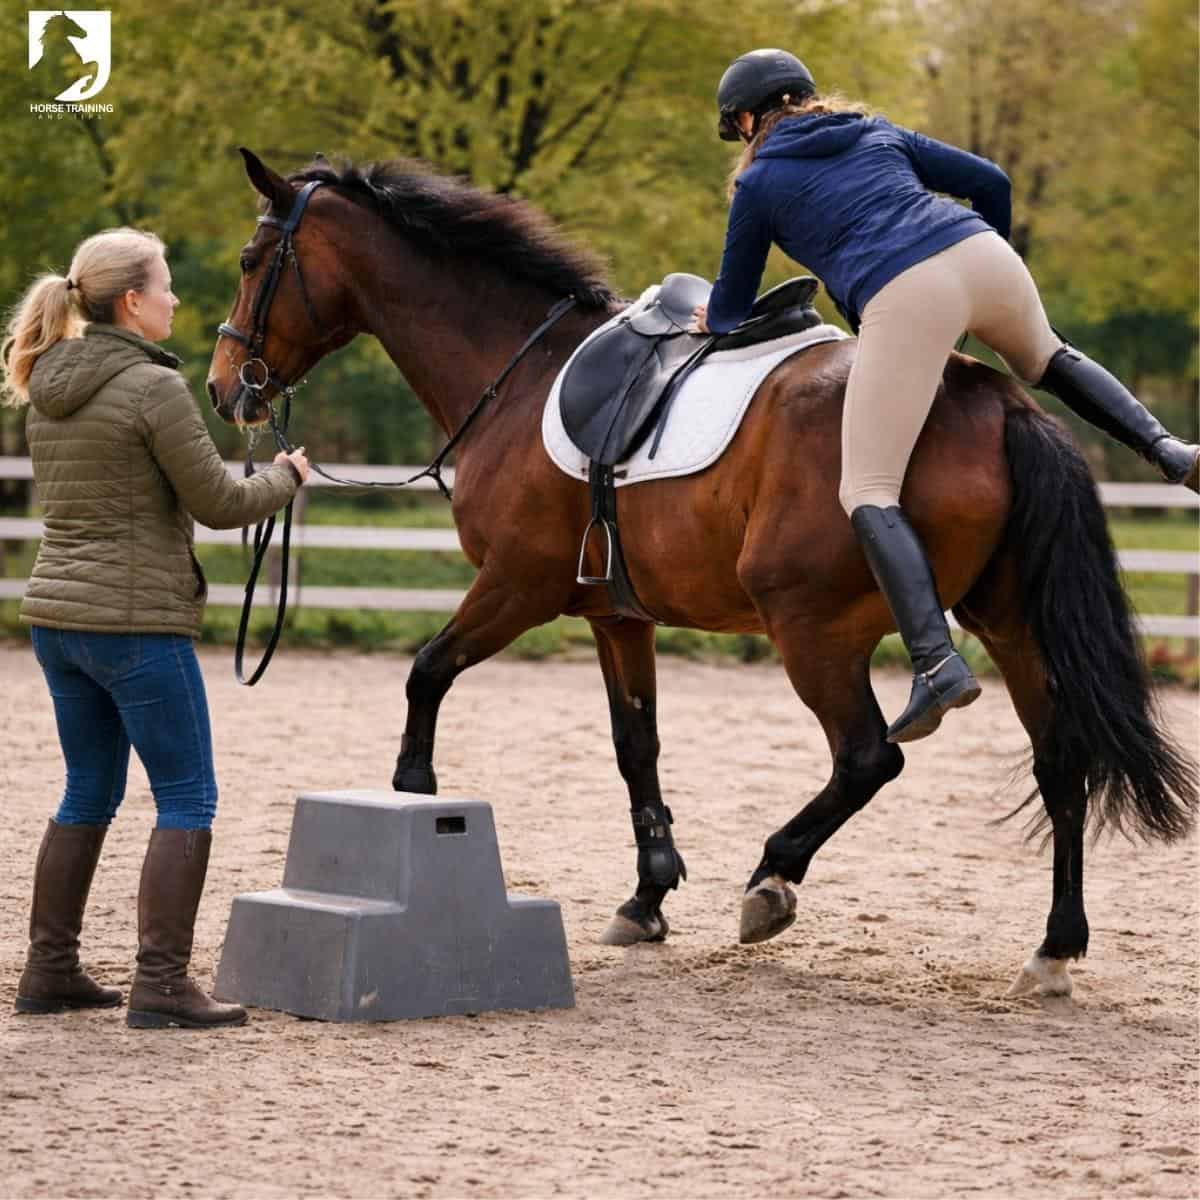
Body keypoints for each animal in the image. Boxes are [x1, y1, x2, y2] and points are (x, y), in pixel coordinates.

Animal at [207, 149, 1196, 999]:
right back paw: (1054, 948)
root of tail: (992, 397)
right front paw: (646, 895)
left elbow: (426, 672)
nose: (222, 388)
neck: (517, 371)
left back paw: (774, 876)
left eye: (254, 259)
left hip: (814, 629)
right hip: (1012, 625)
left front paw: (413, 789)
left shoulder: (517, 588)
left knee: (869, 754)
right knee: (1060, 763)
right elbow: (634, 745)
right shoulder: (617, 616)